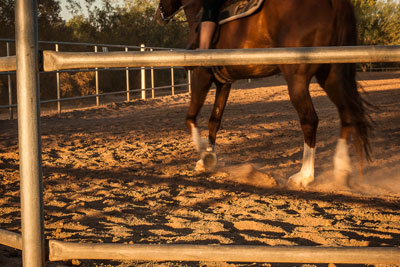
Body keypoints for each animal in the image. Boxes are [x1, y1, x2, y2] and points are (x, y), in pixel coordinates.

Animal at [155, 0, 370, 188]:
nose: (159, 14)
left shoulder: (202, 75)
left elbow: (190, 118)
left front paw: (204, 156)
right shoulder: (224, 83)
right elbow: (214, 121)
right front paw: (208, 158)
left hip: (297, 79)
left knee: (310, 120)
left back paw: (304, 176)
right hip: (331, 75)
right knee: (346, 114)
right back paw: (341, 170)